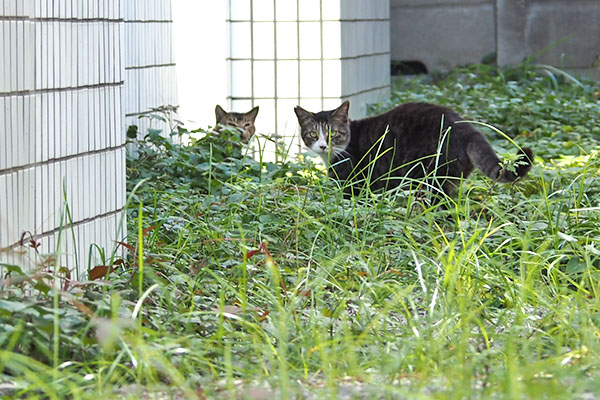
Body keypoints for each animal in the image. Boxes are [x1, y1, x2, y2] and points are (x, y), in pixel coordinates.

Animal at [292, 101, 532, 197]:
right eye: (312, 134)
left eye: (333, 133)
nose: (322, 145)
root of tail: (466, 128)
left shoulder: (353, 184)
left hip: (429, 175)